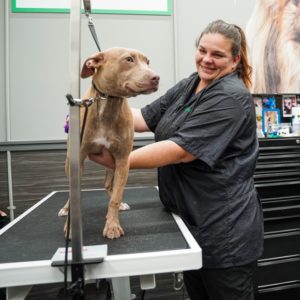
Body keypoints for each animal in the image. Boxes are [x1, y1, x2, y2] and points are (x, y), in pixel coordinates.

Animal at [59, 47, 161, 239]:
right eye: (129, 59)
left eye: (148, 62)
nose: (156, 77)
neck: (109, 103)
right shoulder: (78, 159)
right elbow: (74, 193)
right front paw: (71, 227)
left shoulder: (122, 159)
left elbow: (115, 196)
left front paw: (112, 225)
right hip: (69, 162)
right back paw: (66, 208)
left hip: (113, 164)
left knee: (109, 185)